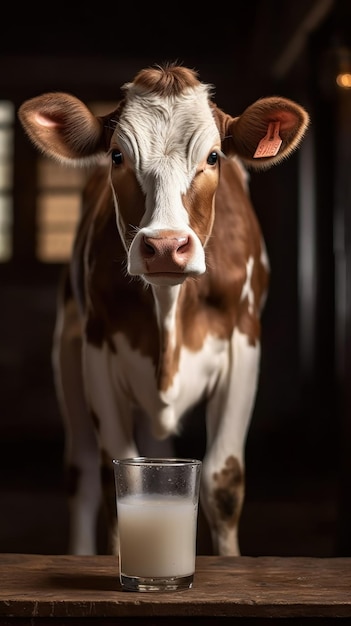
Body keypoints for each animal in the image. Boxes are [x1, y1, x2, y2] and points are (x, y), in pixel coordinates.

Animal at [18, 62, 310, 552]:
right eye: (117, 155)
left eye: (213, 157)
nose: (166, 246)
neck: (170, 307)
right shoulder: (96, 350)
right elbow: (116, 477)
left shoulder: (244, 344)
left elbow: (221, 482)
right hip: (67, 349)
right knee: (82, 473)